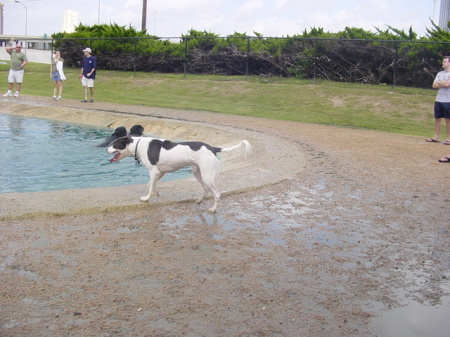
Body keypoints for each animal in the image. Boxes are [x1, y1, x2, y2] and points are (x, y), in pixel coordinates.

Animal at [107, 136, 251, 210]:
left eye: (114, 144)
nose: (106, 149)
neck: (139, 144)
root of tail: (212, 148)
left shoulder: (154, 171)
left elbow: (150, 186)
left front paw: (147, 198)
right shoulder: (160, 172)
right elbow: (150, 185)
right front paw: (155, 193)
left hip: (207, 176)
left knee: (217, 193)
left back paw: (213, 209)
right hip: (198, 173)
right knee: (205, 189)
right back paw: (199, 200)